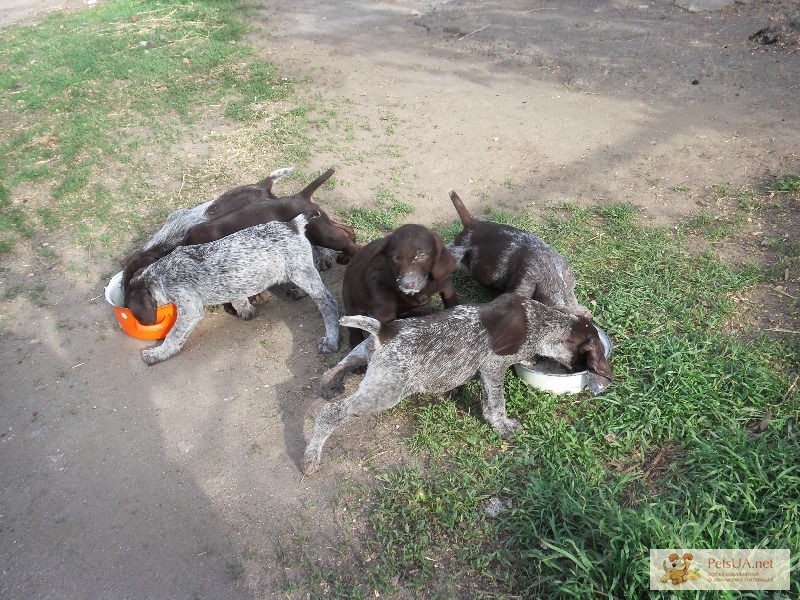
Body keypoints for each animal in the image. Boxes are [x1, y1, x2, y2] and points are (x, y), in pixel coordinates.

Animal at [126, 213, 340, 368]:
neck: (160, 274)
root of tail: (293, 224)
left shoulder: (190, 309)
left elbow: (173, 335)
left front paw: (157, 353)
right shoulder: (235, 284)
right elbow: (239, 297)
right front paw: (246, 310)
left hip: (301, 272)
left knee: (328, 303)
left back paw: (331, 340)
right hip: (300, 269)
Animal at [302, 292, 612, 476]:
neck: (541, 322)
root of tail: (385, 330)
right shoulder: (492, 366)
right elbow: (496, 404)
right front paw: (503, 426)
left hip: (366, 355)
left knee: (338, 366)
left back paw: (328, 385)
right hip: (386, 390)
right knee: (331, 413)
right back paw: (311, 456)